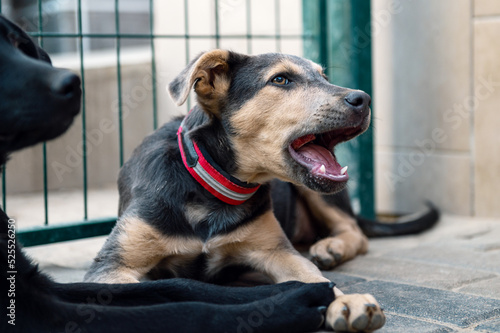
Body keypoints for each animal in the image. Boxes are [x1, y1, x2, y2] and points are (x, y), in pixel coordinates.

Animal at [86, 50, 392, 332]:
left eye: (325, 78)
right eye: (280, 79)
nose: (364, 99)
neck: (210, 188)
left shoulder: (276, 251)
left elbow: (314, 276)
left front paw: (346, 300)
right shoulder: (111, 267)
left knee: (355, 231)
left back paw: (331, 247)